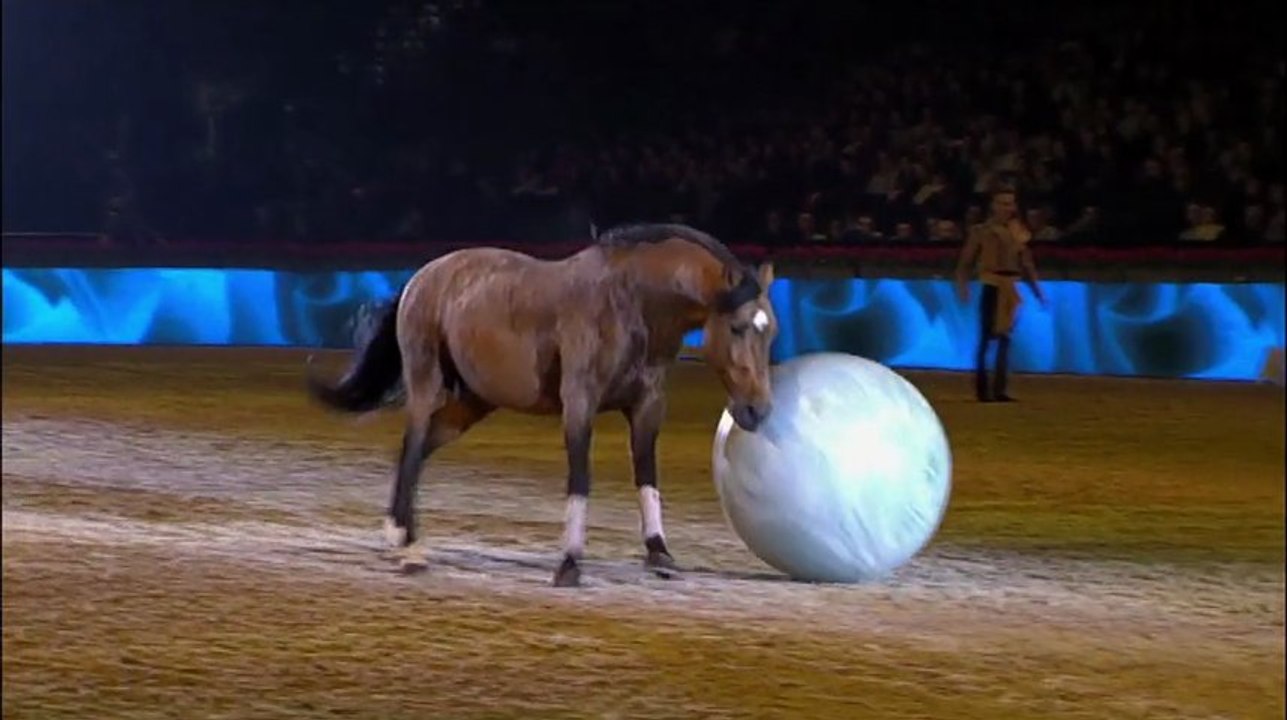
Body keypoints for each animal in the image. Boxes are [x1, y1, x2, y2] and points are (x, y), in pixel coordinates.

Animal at [306, 223, 778, 587]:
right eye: (738, 328)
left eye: (769, 331)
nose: (757, 410)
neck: (632, 300)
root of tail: (423, 277)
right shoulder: (579, 403)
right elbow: (580, 477)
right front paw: (569, 563)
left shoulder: (647, 407)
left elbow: (647, 475)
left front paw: (659, 554)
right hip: (426, 385)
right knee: (411, 447)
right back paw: (405, 545)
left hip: (473, 403)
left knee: (417, 452)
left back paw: (402, 533)